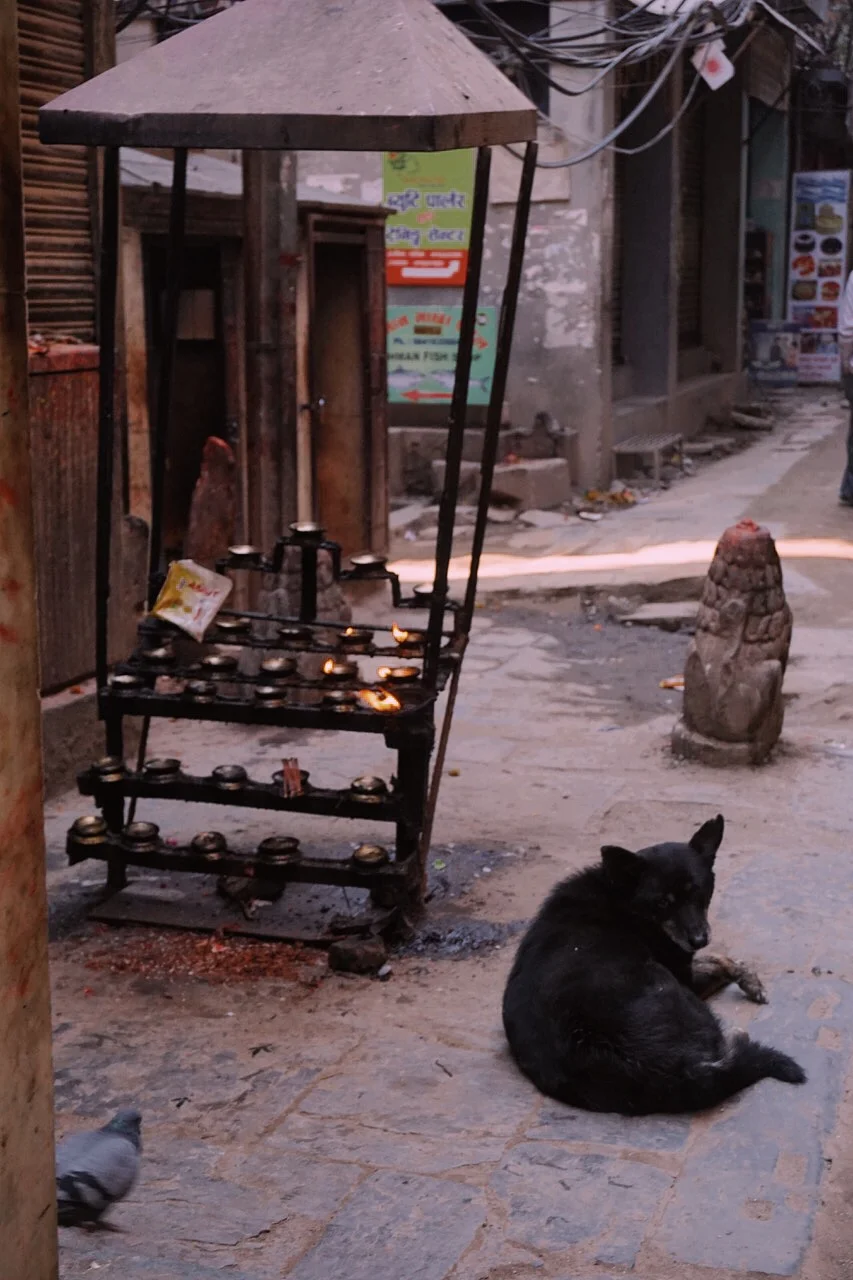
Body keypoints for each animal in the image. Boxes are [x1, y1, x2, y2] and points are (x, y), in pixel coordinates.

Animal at [502, 819, 809, 1111]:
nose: (699, 939)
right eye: (662, 902)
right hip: (670, 987)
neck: (622, 896)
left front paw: (749, 979)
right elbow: (719, 962)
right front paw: (747, 978)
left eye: (699, 892)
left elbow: (719, 959)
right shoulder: (683, 974)